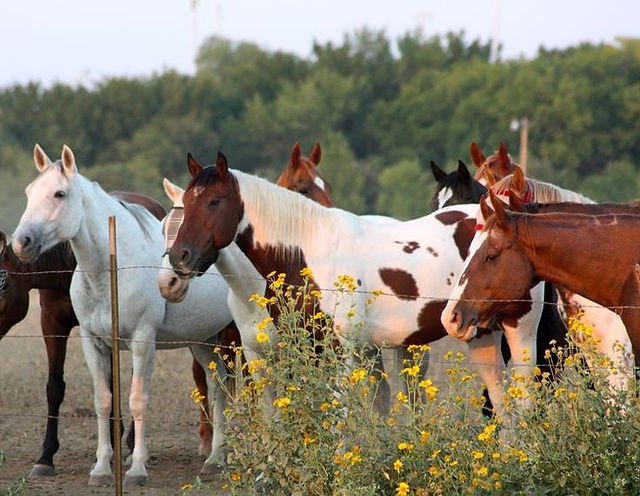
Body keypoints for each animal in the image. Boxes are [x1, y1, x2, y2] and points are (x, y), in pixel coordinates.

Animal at [11, 144, 234, 486]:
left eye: (60, 193)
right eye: (29, 192)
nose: (21, 242)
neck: (113, 266)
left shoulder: (143, 341)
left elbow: (137, 400)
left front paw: (137, 470)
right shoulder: (93, 342)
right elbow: (104, 400)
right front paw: (102, 469)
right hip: (203, 340)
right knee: (217, 385)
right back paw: (214, 460)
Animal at [166, 152, 549, 420]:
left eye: (214, 201)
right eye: (184, 204)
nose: (180, 257)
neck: (309, 251)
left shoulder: (342, 349)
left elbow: (336, 413)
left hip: (520, 331)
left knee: (525, 401)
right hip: (479, 335)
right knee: (502, 404)